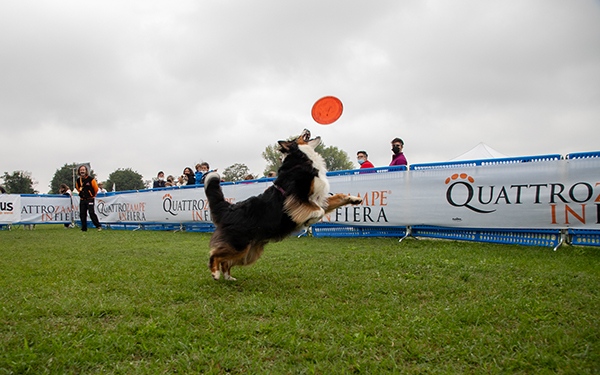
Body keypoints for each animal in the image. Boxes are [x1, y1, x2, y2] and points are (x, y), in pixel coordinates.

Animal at [204, 129, 364, 280]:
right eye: (297, 136)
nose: (306, 128)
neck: (301, 160)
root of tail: (228, 208)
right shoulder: (297, 198)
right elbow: (319, 211)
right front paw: (309, 221)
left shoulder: (317, 199)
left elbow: (338, 198)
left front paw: (354, 199)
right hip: (239, 243)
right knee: (215, 254)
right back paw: (215, 273)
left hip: (248, 252)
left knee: (226, 260)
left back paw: (228, 277)